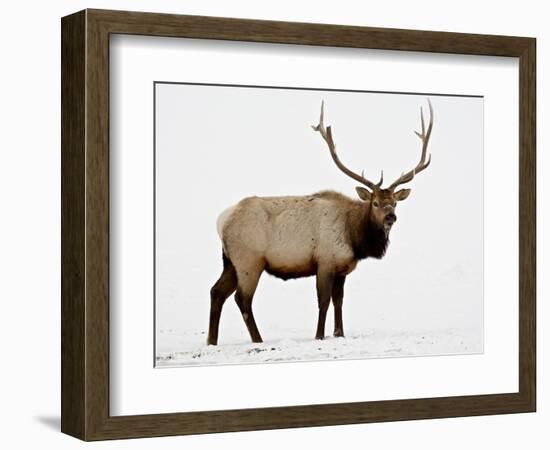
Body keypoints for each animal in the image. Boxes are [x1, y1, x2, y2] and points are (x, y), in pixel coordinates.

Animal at [208, 99, 436, 344]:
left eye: (394, 202)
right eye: (375, 203)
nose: (390, 217)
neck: (355, 237)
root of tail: (222, 220)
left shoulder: (342, 268)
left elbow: (339, 301)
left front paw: (339, 333)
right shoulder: (325, 261)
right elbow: (324, 301)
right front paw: (319, 335)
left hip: (230, 261)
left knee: (216, 292)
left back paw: (212, 341)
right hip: (249, 260)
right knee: (242, 299)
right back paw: (257, 339)